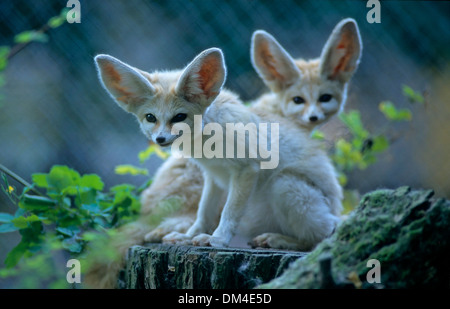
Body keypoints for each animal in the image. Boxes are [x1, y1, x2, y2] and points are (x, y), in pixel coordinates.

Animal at [85, 19, 362, 288]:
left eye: (179, 117)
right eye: (150, 118)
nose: (160, 139)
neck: (205, 141)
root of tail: (336, 211)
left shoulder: (247, 169)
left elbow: (230, 211)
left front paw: (217, 239)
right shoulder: (213, 176)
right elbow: (203, 212)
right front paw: (190, 236)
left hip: (284, 186)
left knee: (323, 237)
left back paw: (278, 239)